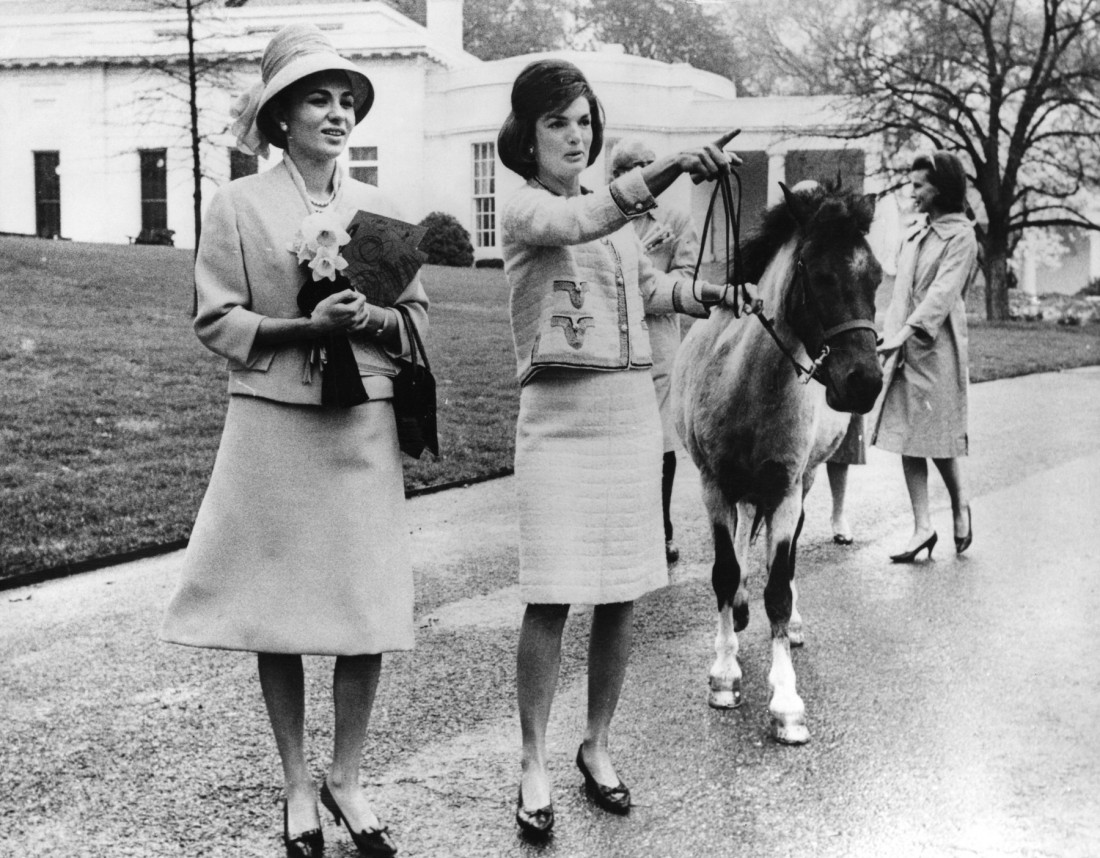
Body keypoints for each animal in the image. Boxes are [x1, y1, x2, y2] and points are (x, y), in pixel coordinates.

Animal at [672, 180, 883, 744]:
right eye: (820, 273)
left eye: (875, 276)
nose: (865, 382)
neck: (746, 387)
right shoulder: (714, 486)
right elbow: (725, 573)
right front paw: (724, 675)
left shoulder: (786, 490)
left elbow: (778, 592)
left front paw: (786, 701)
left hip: (802, 484)